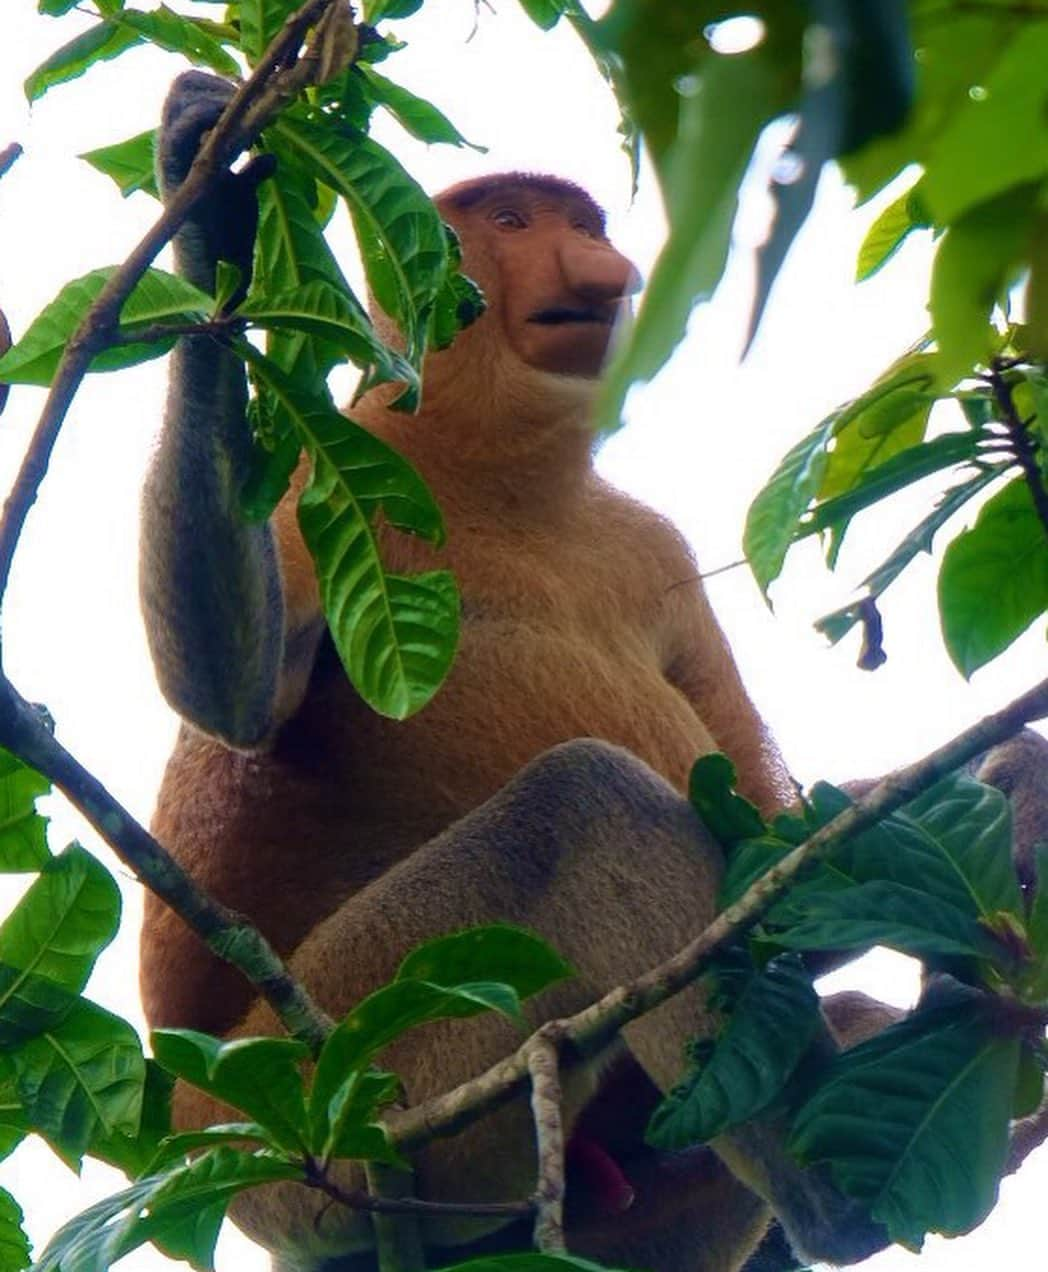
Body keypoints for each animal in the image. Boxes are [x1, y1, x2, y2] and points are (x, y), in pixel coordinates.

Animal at [137, 74, 1037, 1272]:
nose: (603, 274)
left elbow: (759, 824)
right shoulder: (324, 472)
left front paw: (1007, 785)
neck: (497, 475)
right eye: (511, 221)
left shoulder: (654, 553)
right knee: (580, 805)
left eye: (587, 226)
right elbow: (232, 692)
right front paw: (206, 223)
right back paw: (839, 1193)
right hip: (324, 1089)